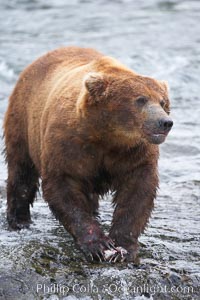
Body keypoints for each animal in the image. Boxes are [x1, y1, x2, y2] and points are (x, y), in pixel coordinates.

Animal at [3, 46, 173, 262]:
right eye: (140, 100)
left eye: (163, 102)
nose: (165, 122)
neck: (107, 135)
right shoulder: (68, 145)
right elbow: (63, 186)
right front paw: (98, 245)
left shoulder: (134, 154)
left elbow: (137, 192)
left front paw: (123, 246)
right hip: (22, 118)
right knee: (21, 170)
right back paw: (19, 221)